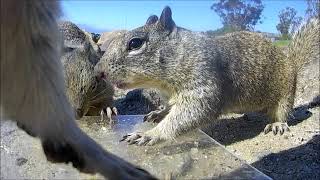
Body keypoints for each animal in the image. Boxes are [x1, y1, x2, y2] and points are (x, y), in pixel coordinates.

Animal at [95, 6, 320, 146]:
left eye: (135, 43)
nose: (98, 72)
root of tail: (291, 62)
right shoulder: (171, 95)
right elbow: (169, 108)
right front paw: (158, 113)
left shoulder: (203, 84)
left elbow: (190, 114)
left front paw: (151, 134)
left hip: (285, 94)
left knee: (282, 112)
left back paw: (278, 124)